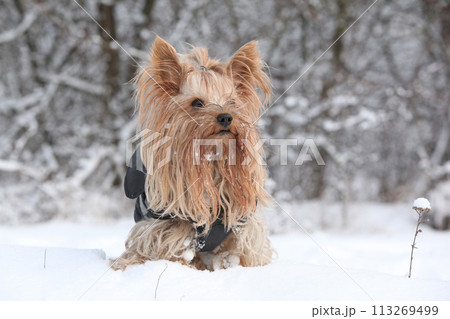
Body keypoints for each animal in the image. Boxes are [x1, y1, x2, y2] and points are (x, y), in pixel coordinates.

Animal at [112, 37, 274, 272]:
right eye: (197, 103)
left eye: (233, 103)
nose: (226, 117)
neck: (211, 160)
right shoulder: (166, 227)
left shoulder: (242, 229)